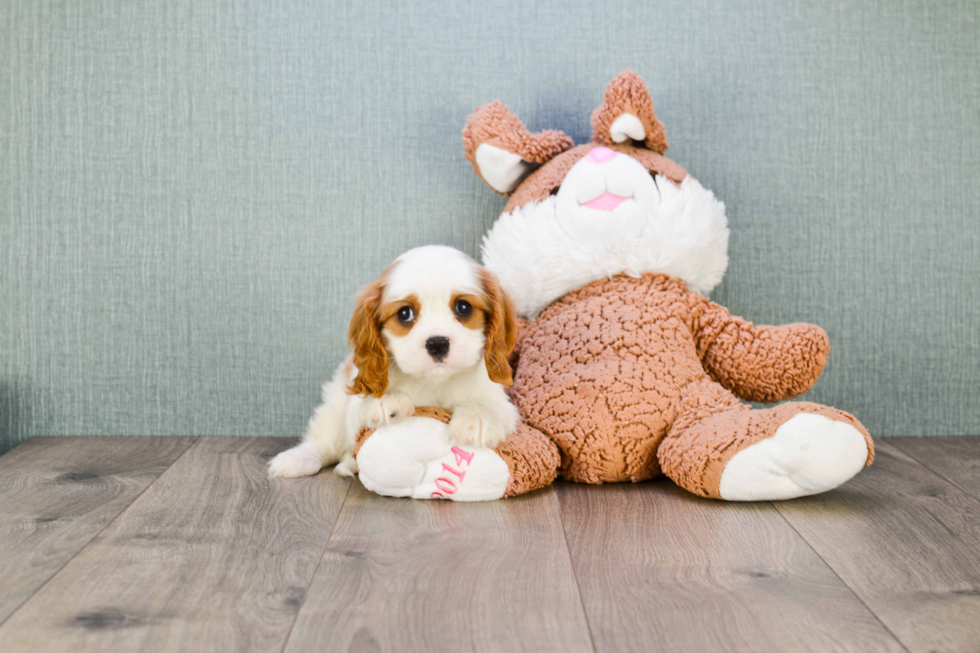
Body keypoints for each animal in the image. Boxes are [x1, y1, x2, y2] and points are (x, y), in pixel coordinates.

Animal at [268, 244, 520, 478]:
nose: (437, 343)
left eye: (464, 307)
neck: (433, 382)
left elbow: (491, 407)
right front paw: (387, 399)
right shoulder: (354, 409)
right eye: (404, 313)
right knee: (326, 441)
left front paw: (477, 417)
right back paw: (299, 458)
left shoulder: (503, 403)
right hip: (334, 404)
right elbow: (362, 411)